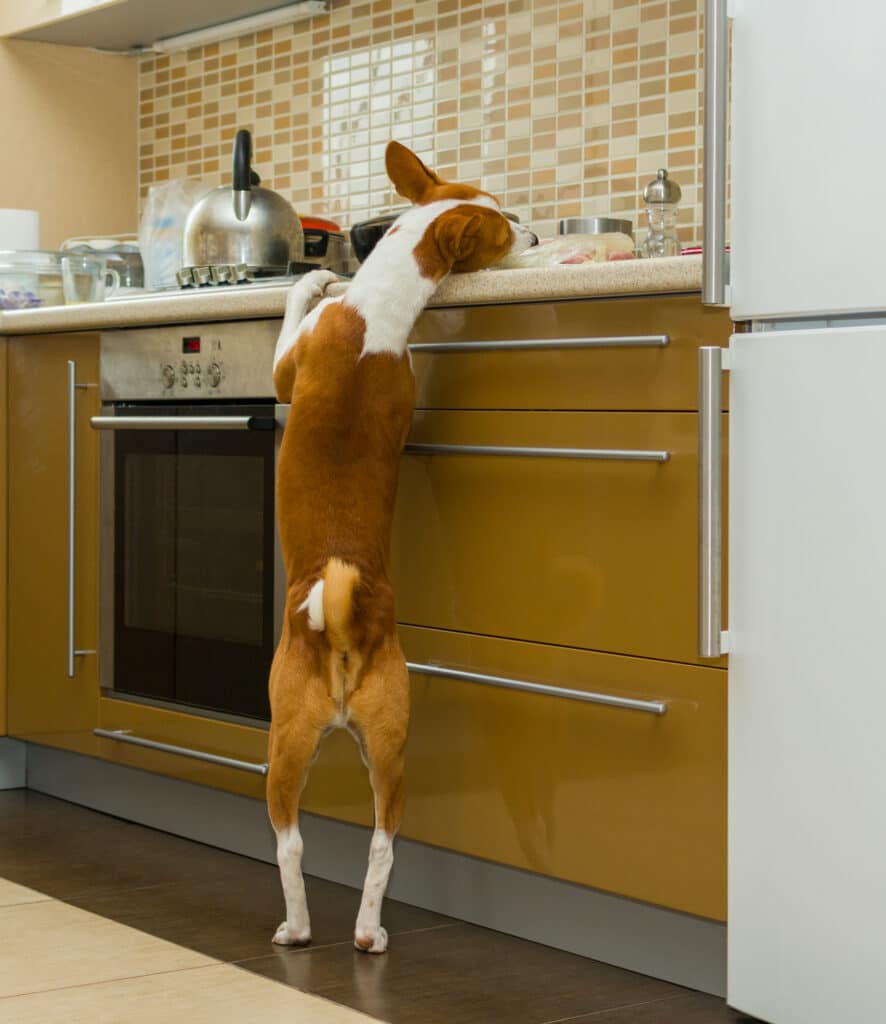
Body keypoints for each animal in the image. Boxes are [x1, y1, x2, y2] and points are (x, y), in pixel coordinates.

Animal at [266, 140, 536, 954]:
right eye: (507, 223)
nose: (540, 235)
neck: (376, 310)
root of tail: (346, 623)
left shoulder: (285, 366)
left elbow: (293, 315)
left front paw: (313, 276)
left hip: (282, 738)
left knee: (290, 841)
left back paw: (298, 928)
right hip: (389, 742)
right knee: (383, 842)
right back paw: (366, 933)